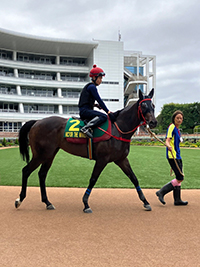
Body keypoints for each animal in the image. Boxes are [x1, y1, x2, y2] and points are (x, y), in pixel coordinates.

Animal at [14, 89, 157, 213]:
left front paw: (145, 202)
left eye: (153, 105)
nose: (153, 122)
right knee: (26, 171)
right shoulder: (102, 159)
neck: (118, 128)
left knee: (42, 174)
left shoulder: (121, 159)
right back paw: (20, 199)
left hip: (50, 154)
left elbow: (134, 178)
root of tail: (36, 122)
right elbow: (93, 179)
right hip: (40, 154)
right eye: (143, 105)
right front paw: (86, 203)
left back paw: (47, 202)